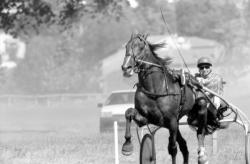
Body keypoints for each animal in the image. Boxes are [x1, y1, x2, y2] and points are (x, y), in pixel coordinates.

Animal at [121, 33, 223, 164]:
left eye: (140, 46)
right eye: (126, 46)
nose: (126, 67)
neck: (155, 89)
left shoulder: (171, 120)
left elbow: (173, 149)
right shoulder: (146, 119)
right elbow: (128, 113)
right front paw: (127, 146)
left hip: (198, 107)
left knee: (200, 132)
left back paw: (202, 155)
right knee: (184, 146)